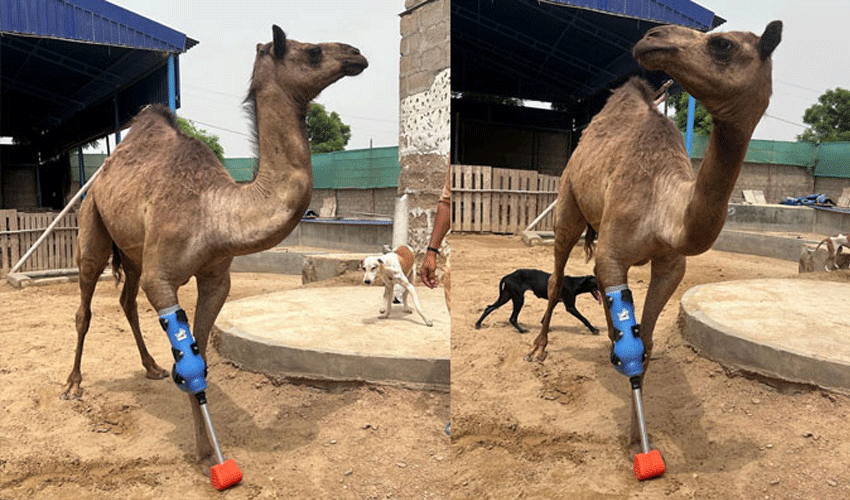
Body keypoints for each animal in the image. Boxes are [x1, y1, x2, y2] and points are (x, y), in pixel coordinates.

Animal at [61, 26, 367, 466]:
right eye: (312, 52)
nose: (356, 54)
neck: (216, 212)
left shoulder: (217, 278)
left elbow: (201, 355)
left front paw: (205, 445)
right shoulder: (162, 278)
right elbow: (189, 361)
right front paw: (206, 452)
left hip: (133, 251)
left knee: (126, 300)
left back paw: (151, 367)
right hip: (92, 222)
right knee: (84, 305)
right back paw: (73, 384)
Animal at [528, 21, 782, 446]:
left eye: (722, 44)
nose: (652, 36)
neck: (664, 211)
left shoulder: (670, 267)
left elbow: (643, 342)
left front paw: (636, 434)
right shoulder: (613, 252)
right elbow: (626, 328)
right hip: (568, 204)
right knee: (556, 276)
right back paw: (538, 348)